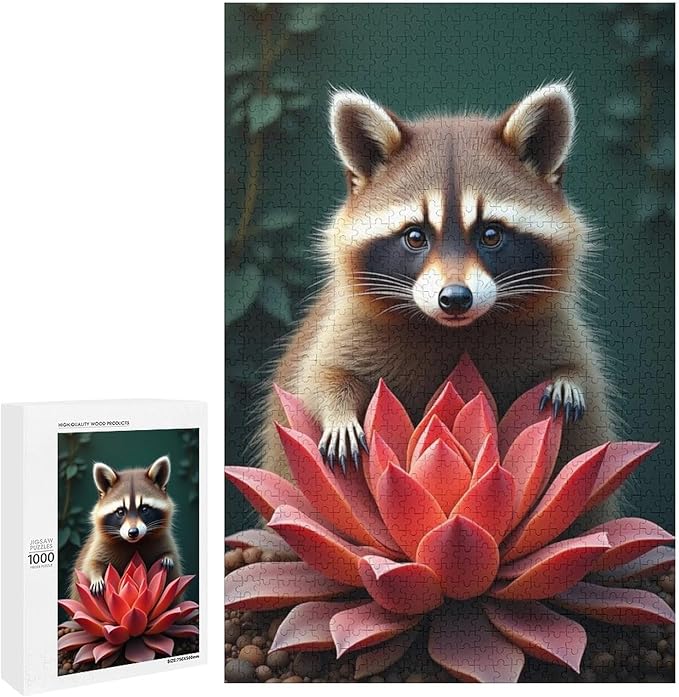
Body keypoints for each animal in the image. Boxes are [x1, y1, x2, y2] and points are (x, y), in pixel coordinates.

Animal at [71, 456, 181, 597]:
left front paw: (167, 557)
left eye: (144, 509)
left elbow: (171, 554)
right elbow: (90, 563)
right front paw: (95, 576)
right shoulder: (98, 544)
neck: (133, 543)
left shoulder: (163, 539)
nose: (133, 532)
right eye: (120, 511)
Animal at [259, 83, 619, 522]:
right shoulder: (344, 323)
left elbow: (580, 370)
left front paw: (567, 379)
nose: (455, 299)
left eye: (491, 234)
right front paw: (337, 412)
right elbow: (318, 376)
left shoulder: (552, 324)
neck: (455, 331)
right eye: (415, 236)